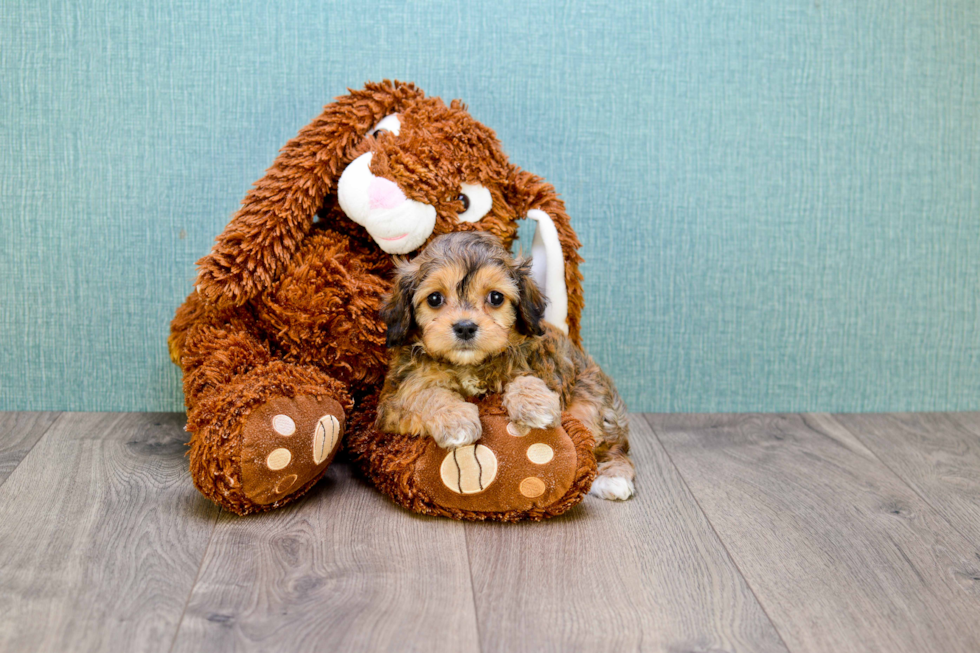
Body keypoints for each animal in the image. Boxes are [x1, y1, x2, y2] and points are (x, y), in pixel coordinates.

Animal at [376, 232, 636, 502]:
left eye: (496, 297)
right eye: (435, 298)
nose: (465, 327)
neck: (469, 365)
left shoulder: (541, 366)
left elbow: (525, 378)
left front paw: (536, 405)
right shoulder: (392, 402)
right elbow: (427, 394)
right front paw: (456, 420)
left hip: (591, 404)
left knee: (614, 447)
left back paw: (614, 477)